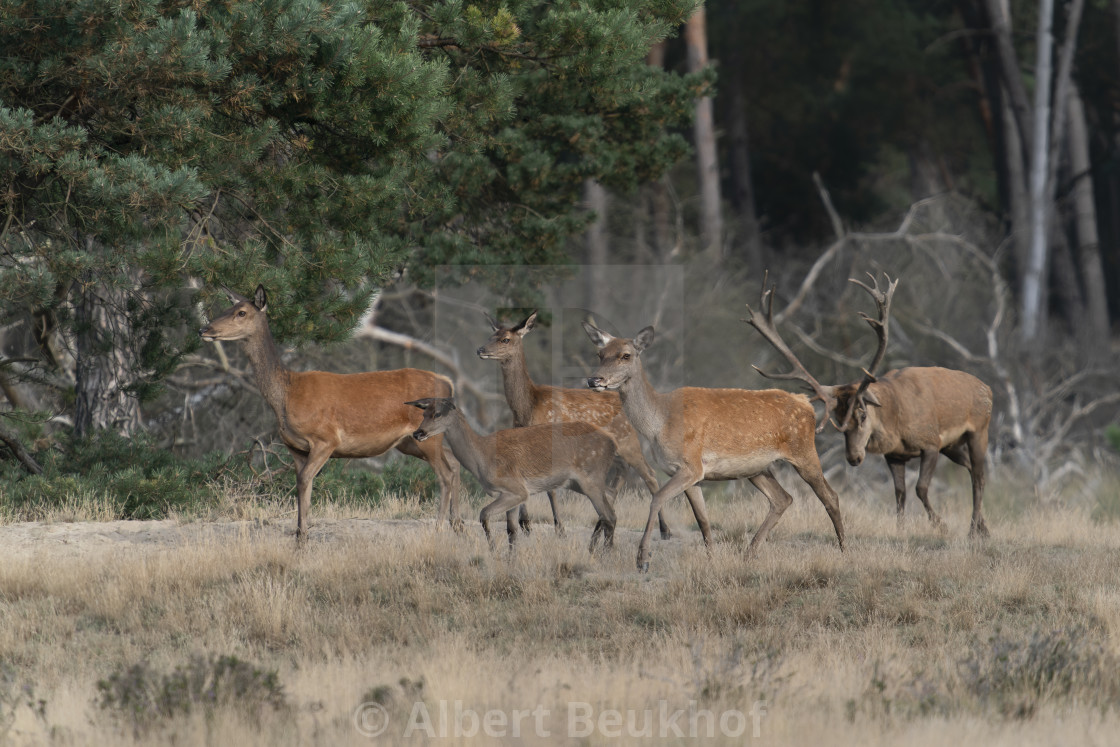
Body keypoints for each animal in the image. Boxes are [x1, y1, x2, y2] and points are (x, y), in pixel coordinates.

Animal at [199, 286, 461, 544]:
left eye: (241, 312)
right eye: (228, 308)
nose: (204, 329)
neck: (287, 395)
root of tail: (448, 382)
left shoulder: (326, 439)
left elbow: (304, 481)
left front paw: (302, 540)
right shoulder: (296, 448)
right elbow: (304, 484)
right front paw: (301, 537)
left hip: (427, 436)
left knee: (445, 474)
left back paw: (439, 529)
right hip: (411, 441)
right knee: (454, 461)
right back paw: (457, 524)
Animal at [409, 400, 622, 553]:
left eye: (437, 414)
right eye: (424, 413)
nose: (418, 433)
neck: (482, 457)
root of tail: (613, 442)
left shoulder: (516, 489)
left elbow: (484, 514)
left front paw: (493, 550)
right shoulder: (513, 495)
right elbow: (512, 530)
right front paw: (510, 560)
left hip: (590, 477)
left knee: (609, 515)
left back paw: (606, 555)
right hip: (578, 482)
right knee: (610, 500)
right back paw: (595, 549)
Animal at [474, 313, 667, 539]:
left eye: (505, 339)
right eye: (491, 335)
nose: (480, 350)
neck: (527, 408)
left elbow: (551, 489)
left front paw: (559, 528)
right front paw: (526, 523)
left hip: (629, 441)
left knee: (651, 476)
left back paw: (665, 530)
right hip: (616, 451)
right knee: (619, 480)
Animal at [582, 322, 842, 573]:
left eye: (625, 355)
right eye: (599, 354)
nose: (594, 380)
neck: (659, 424)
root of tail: (806, 403)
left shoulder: (691, 465)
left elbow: (657, 498)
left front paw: (643, 560)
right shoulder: (690, 474)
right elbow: (703, 520)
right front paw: (712, 560)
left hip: (804, 451)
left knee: (830, 496)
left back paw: (843, 549)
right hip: (757, 469)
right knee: (783, 498)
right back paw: (748, 555)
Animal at [743, 274, 990, 537]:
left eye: (862, 415)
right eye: (838, 421)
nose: (853, 458)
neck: (896, 422)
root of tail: (987, 388)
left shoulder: (931, 442)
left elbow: (921, 488)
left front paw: (940, 525)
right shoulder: (895, 455)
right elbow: (900, 493)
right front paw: (900, 528)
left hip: (979, 431)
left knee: (979, 475)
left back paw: (974, 529)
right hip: (952, 446)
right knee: (971, 468)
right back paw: (983, 527)